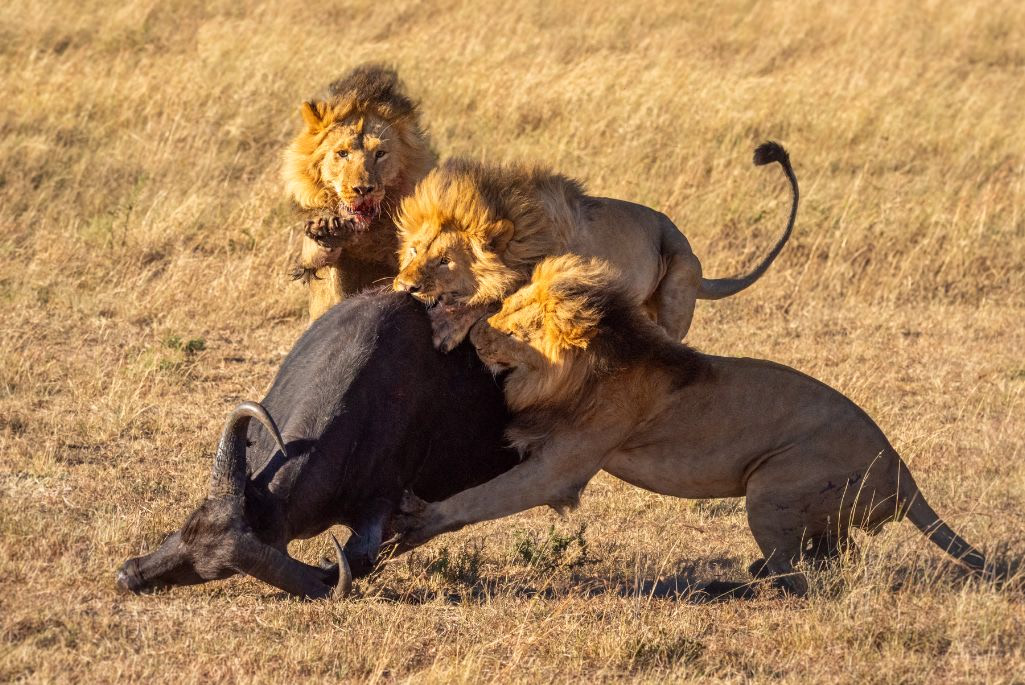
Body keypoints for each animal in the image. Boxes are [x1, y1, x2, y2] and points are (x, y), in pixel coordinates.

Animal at [283, 64, 435, 320]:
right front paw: (326, 228)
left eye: (380, 154)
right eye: (342, 153)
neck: (365, 231)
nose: (363, 189)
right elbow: (314, 256)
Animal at [392, 254, 994, 597]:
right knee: (831, 559)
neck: (597, 364)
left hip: (772, 486)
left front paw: (418, 519)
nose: (477, 334)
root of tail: (902, 471)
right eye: (506, 308)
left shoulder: (565, 464)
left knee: (802, 581)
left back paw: (733, 585)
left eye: (520, 326)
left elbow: (482, 499)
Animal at [393, 142, 798, 351]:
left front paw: (447, 325)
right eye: (414, 251)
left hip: (676, 286)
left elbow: (489, 302)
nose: (404, 286)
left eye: (445, 261)